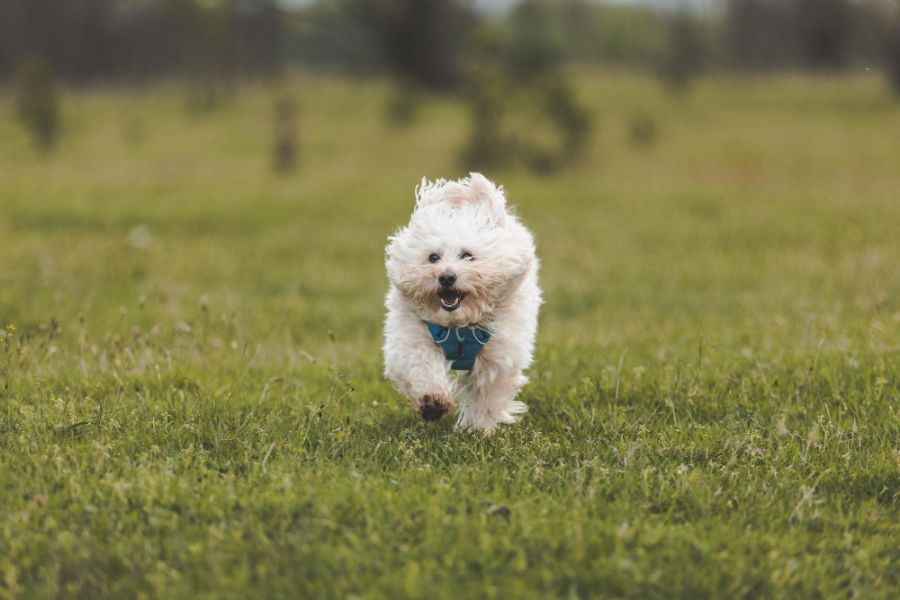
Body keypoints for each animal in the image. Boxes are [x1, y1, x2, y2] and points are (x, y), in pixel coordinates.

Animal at [382, 171, 540, 434]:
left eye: (467, 255)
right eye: (433, 257)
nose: (446, 277)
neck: (458, 326)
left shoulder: (499, 354)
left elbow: (486, 393)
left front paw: (478, 429)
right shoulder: (411, 337)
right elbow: (420, 362)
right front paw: (432, 402)